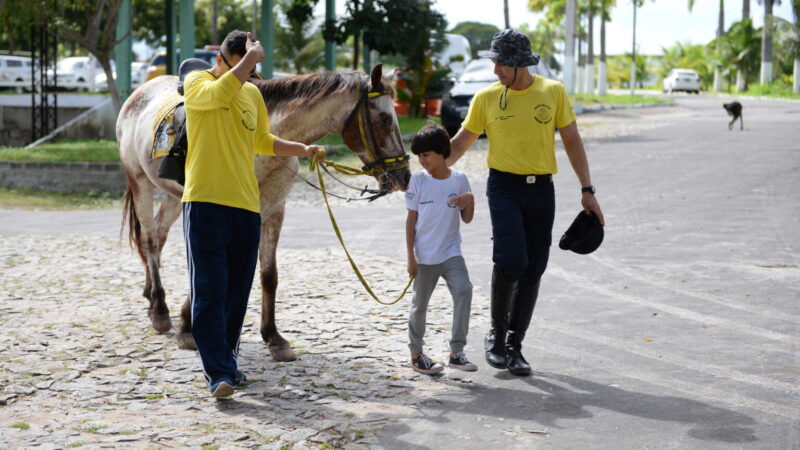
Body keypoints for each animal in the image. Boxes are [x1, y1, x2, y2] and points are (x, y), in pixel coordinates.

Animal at [117, 63, 412, 360]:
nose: (404, 176)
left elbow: (269, 275)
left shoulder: (273, 211)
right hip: (139, 181)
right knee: (149, 240)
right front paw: (188, 327)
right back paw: (159, 309)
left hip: (172, 196)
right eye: (385, 119)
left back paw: (151, 295)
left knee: (159, 235)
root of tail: (140, 92)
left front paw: (273, 337)